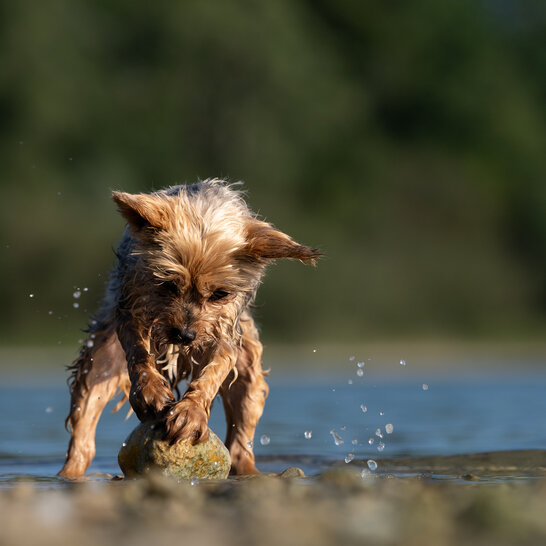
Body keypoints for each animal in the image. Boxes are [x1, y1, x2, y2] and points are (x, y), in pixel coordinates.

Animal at [58, 180, 318, 476]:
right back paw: (69, 471)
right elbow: (138, 352)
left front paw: (191, 412)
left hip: (248, 372)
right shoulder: (132, 303)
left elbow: (213, 372)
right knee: (84, 431)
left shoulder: (222, 330)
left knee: (240, 443)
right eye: (168, 284)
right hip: (100, 360)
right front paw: (150, 391)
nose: (184, 335)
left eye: (220, 294)